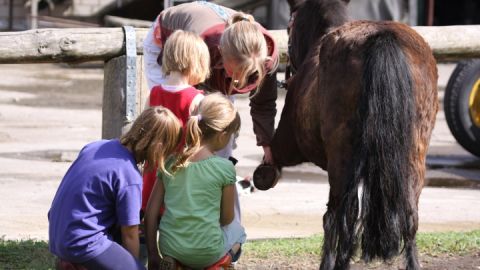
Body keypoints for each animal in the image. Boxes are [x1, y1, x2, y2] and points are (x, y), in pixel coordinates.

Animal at [255, 0, 438, 268]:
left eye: (289, 25)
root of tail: (382, 38)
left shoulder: (289, 142)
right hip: (413, 156)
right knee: (409, 217)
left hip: (342, 161)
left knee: (339, 217)